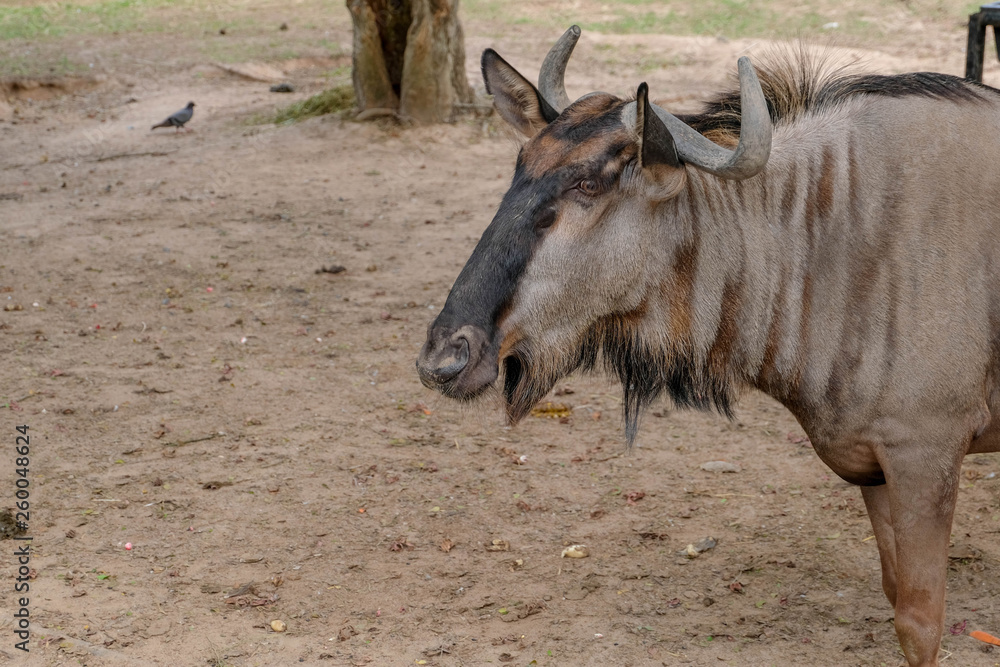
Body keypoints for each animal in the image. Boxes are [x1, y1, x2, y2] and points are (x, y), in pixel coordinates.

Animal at [416, 26, 1000, 666]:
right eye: (519, 168)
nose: (445, 357)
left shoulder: (925, 455)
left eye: (587, 183)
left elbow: (919, 624)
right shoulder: (873, 465)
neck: (832, 236)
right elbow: (896, 594)